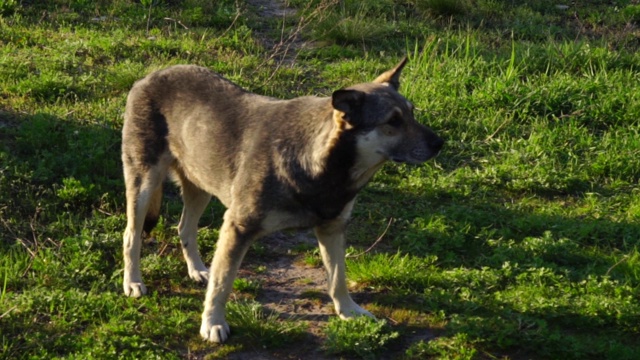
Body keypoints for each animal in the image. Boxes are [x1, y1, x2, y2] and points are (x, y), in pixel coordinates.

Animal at [120, 56, 442, 344]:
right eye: (393, 121)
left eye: (412, 113)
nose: (440, 143)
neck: (324, 166)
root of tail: (149, 76)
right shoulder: (238, 228)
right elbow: (223, 285)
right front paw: (212, 323)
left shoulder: (333, 228)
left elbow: (338, 278)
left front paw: (349, 311)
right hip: (144, 183)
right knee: (131, 235)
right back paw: (133, 282)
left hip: (201, 184)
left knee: (185, 228)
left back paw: (198, 270)